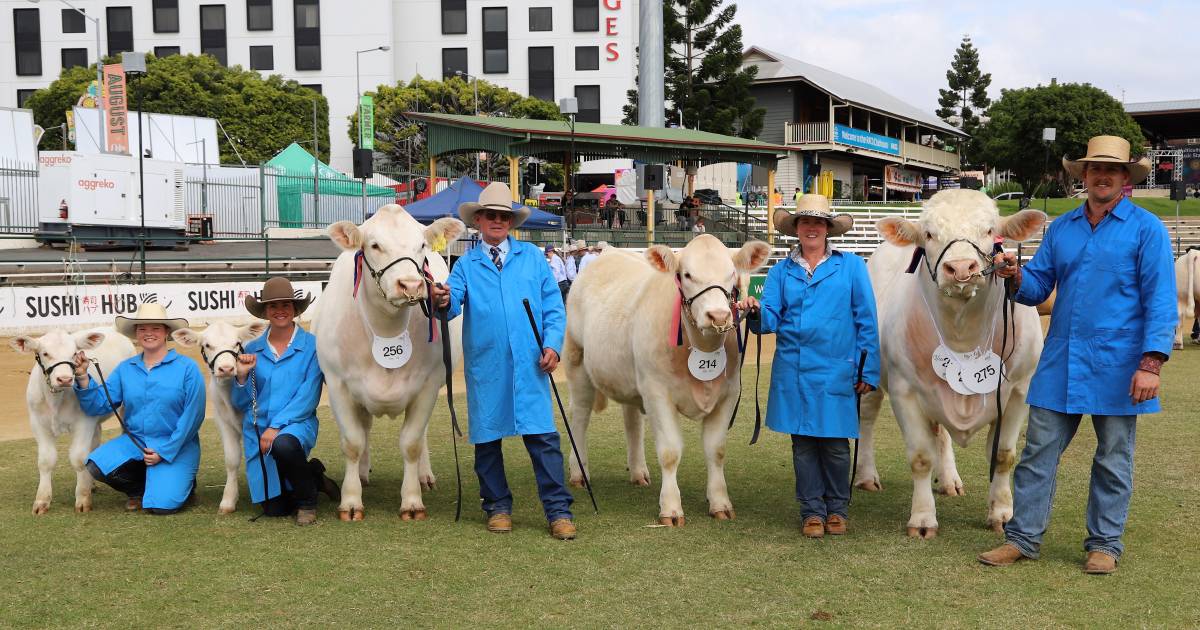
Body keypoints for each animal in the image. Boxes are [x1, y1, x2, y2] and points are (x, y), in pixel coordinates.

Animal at [11, 326, 135, 513]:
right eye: (45, 353)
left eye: (75, 353)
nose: (65, 379)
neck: (56, 400)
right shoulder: (38, 424)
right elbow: (46, 461)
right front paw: (42, 501)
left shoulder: (84, 423)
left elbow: (79, 459)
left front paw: (83, 499)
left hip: (121, 409)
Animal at [174, 319, 267, 511]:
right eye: (207, 345)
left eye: (237, 343)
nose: (226, 368)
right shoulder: (223, 421)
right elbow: (232, 459)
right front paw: (229, 500)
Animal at [314, 205, 463, 520]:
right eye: (374, 245)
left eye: (422, 246)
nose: (411, 285)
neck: (385, 330)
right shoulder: (337, 384)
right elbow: (353, 441)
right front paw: (351, 500)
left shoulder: (429, 384)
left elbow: (412, 442)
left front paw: (412, 500)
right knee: (365, 428)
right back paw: (362, 473)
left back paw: (424, 476)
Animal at [561, 232, 768, 523]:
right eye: (687, 275)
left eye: (731, 274)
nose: (718, 316)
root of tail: (608, 252)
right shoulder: (657, 392)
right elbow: (670, 452)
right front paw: (670, 508)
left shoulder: (729, 393)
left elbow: (716, 450)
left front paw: (720, 503)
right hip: (577, 360)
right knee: (579, 416)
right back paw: (580, 474)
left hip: (630, 378)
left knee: (632, 422)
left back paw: (638, 472)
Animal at [859, 189, 1046, 537]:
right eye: (929, 234)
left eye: (990, 230)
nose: (960, 268)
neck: (964, 335)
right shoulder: (905, 391)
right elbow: (920, 457)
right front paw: (922, 519)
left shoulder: (1019, 391)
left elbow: (1003, 455)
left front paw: (1002, 513)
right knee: (867, 416)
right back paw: (866, 475)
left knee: (941, 434)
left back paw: (949, 481)